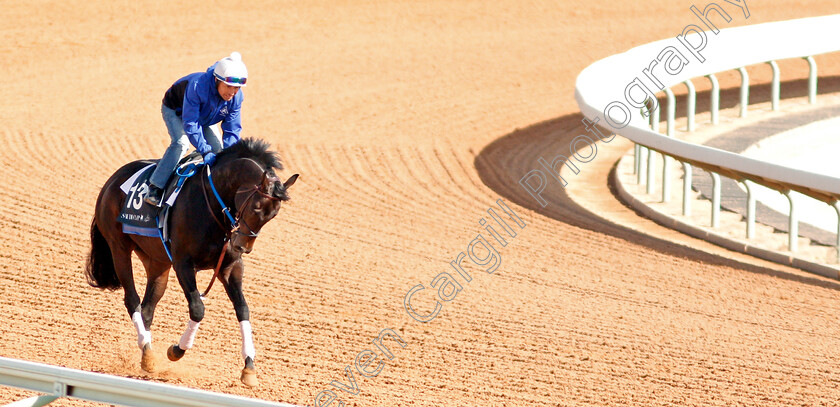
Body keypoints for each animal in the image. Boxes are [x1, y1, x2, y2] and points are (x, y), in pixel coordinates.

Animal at [84, 139, 298, 388]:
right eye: (256, 207)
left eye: (274, 214)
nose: (243, 246)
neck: (214, 205)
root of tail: (113, 179)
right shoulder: (183, 264)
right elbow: (197, 309)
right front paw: (177, 350)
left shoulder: (230, 266)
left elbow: (243, 309)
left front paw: (249, 367)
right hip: (119, 247)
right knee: (133, 301)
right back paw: (148, 353)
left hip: (157, 262)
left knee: (147, 308)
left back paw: (146, 352)